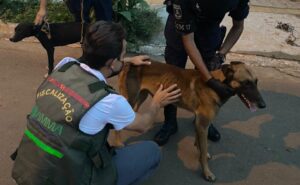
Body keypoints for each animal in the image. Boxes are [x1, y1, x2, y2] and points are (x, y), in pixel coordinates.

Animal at [116, 60, 264, 181]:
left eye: (256, 82)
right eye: (246, 83)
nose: (263, 105)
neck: (215, 85)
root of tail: (129, 63)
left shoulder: (200, 123)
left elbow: (200, 144)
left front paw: (200, 151)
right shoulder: (203, 124)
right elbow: (203, 152)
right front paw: (206, 172)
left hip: (140, 97)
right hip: (131, 99)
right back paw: (118, 143)